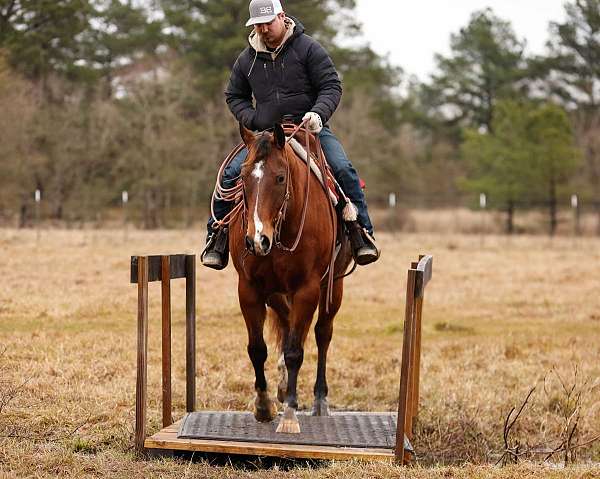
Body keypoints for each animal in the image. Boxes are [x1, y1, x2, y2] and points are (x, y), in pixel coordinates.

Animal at [229, 122, 352, 434]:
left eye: (280, 177)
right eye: (243, 177)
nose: (257, 240)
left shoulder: (307, 289)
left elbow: (297, 349)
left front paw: (289, 416)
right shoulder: (249, 289)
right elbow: (257, 348)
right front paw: (263, 405)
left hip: (333, 287)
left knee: (322, 334)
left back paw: (320, 400)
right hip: (276, 293)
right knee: (286, 325)